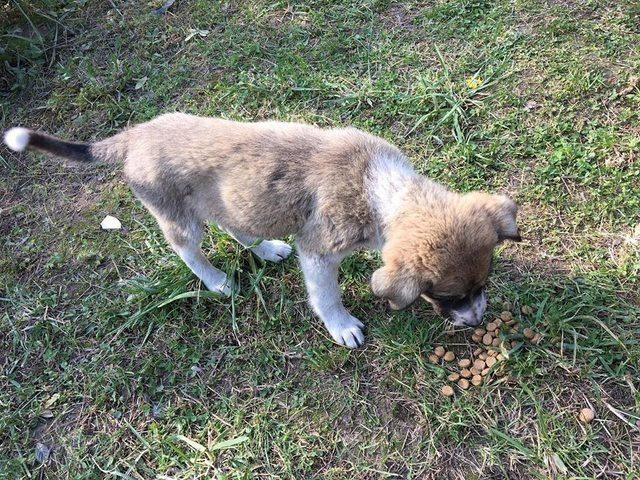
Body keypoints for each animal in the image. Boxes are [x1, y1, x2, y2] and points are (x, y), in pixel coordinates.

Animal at [2, 116, 520, 348]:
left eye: (483, 285)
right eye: (448, 297)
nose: (478, 320)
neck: (379, 187)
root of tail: (133, 135)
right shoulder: (319, 250)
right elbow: (325, 296)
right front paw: (343, 327)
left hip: (226, 198)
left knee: (235, 225)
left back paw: (267, 248)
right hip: (178, 218)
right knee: (189, 252)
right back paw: (217, 282)